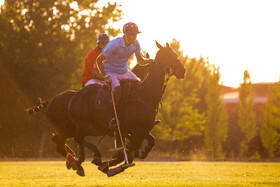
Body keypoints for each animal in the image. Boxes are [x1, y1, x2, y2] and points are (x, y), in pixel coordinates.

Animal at [67, 40, 186, 176]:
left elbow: (132, 150)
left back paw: (87, 161)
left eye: (175, 55)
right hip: (84, 124)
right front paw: (127, 158)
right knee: (78, 137)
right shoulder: (135, 129)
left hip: (96, 127)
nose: (183, 70)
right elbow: (149, 141)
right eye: (167, 56)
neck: (145, 94)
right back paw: (80, 161)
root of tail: (75, 95)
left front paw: (111, 164)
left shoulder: (141, 130)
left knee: (80, 138)